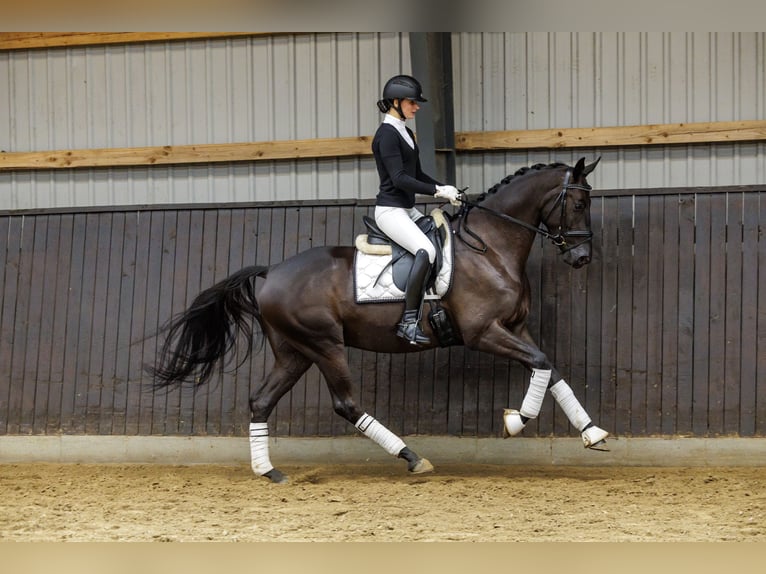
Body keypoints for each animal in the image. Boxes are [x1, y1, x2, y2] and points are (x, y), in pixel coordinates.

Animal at [148, 155, 608, 484]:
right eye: (579, 203)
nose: (582, 258)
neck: (490, 248)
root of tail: (270, 273)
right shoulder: (484, 333)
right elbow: (542, 364)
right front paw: (516, 421)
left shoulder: (515, 328)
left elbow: (549, 368)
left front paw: (591, 432)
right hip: (324, 345)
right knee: (346, 404)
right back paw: (412, 458)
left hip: (294, 351)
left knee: (261, 400)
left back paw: (269, 471)